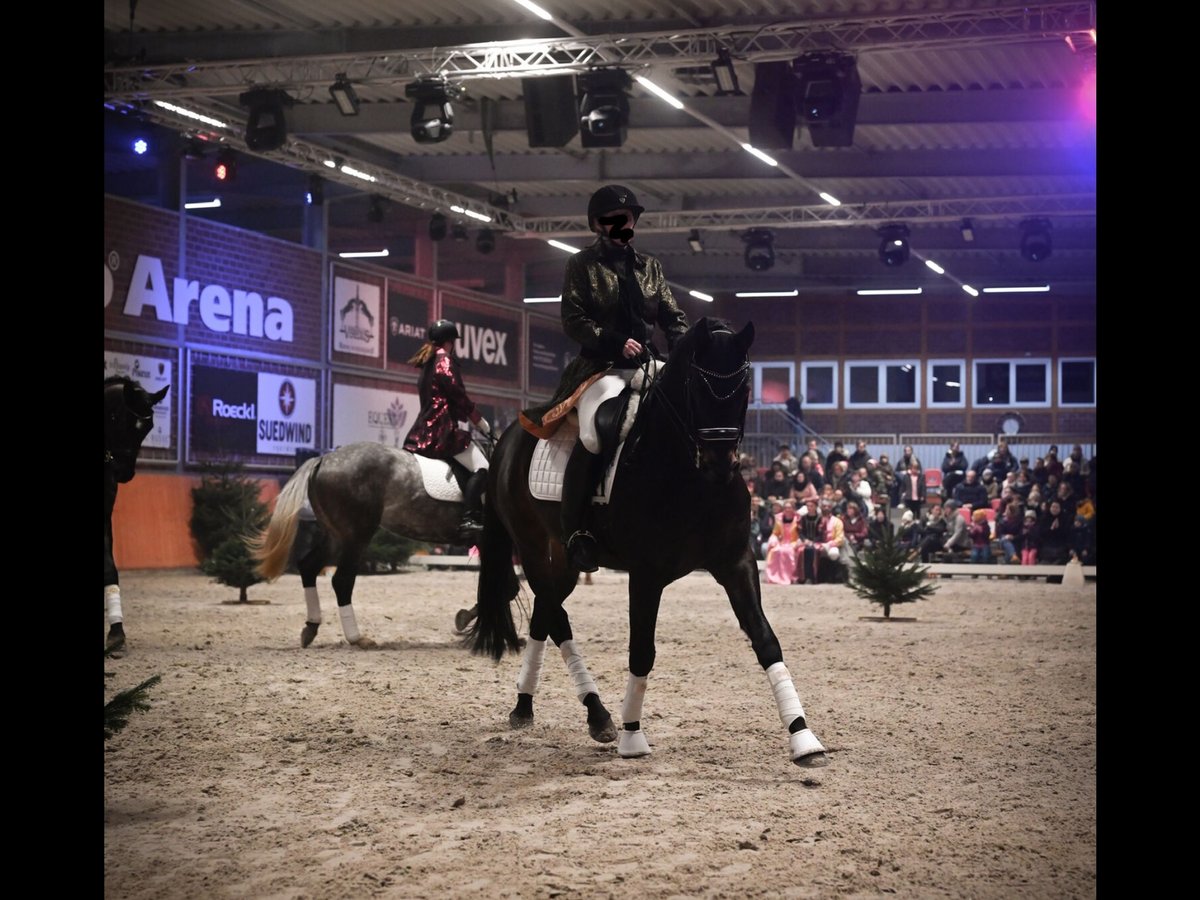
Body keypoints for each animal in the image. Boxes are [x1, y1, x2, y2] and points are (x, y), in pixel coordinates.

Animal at [248, 441, 492, 648]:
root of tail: (323, 459)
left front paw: (466, 617)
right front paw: (468, 619)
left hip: (336, 537)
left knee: (309, 566)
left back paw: (311, 628)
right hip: (357, 536)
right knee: (342, 580)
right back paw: (356, 638)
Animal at [463, 316, 830, 768]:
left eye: (744, 387)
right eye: (696, 386)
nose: (719, 465)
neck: (689, 477)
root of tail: (510, 436)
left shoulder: (736, 563)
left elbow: (765, 639)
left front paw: (803, 737)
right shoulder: (645, 573)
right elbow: (642, 649)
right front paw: (632, 734)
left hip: (563, 557)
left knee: (546, 614)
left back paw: (548, 708)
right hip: (531, 543)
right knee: (553, 614)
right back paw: (581, 712)